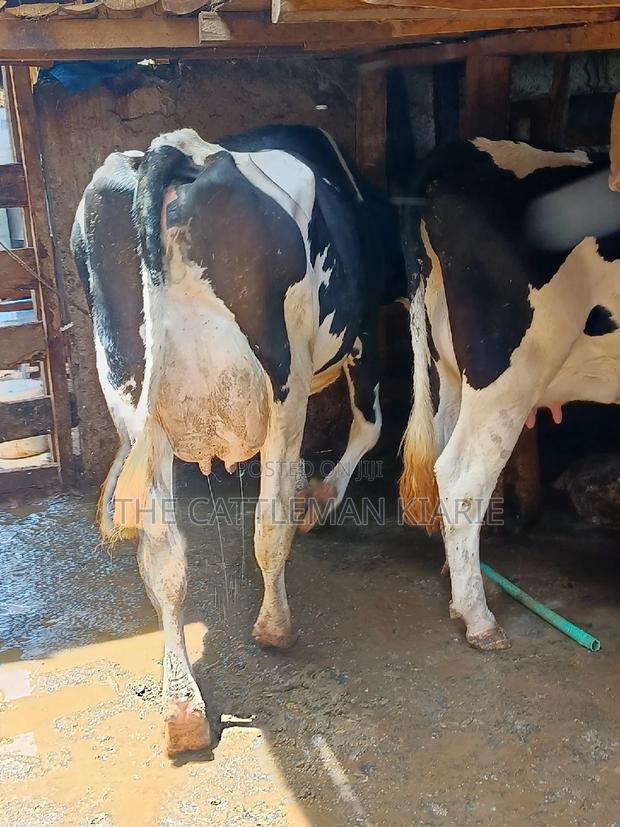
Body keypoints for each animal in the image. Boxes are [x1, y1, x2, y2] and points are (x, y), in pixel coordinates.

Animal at [71, 125, 406, 754]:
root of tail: (174, 149)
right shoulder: (362, 332)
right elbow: (368, 425)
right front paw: (318, 503)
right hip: (282, 382)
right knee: (267, 527)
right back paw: (275, 627)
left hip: (132, 395)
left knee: (165, 560)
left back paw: (182, 710)